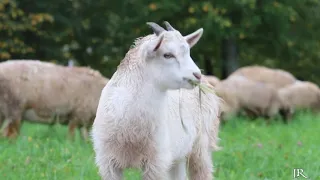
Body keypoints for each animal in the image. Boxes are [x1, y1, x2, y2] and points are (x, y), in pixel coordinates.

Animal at [91, 21, 221, 180]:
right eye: (168, 55)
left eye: (188, 52)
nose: (197, 75)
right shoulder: (108, 162)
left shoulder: (156, 161)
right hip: (178, 153)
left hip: (201, 144)